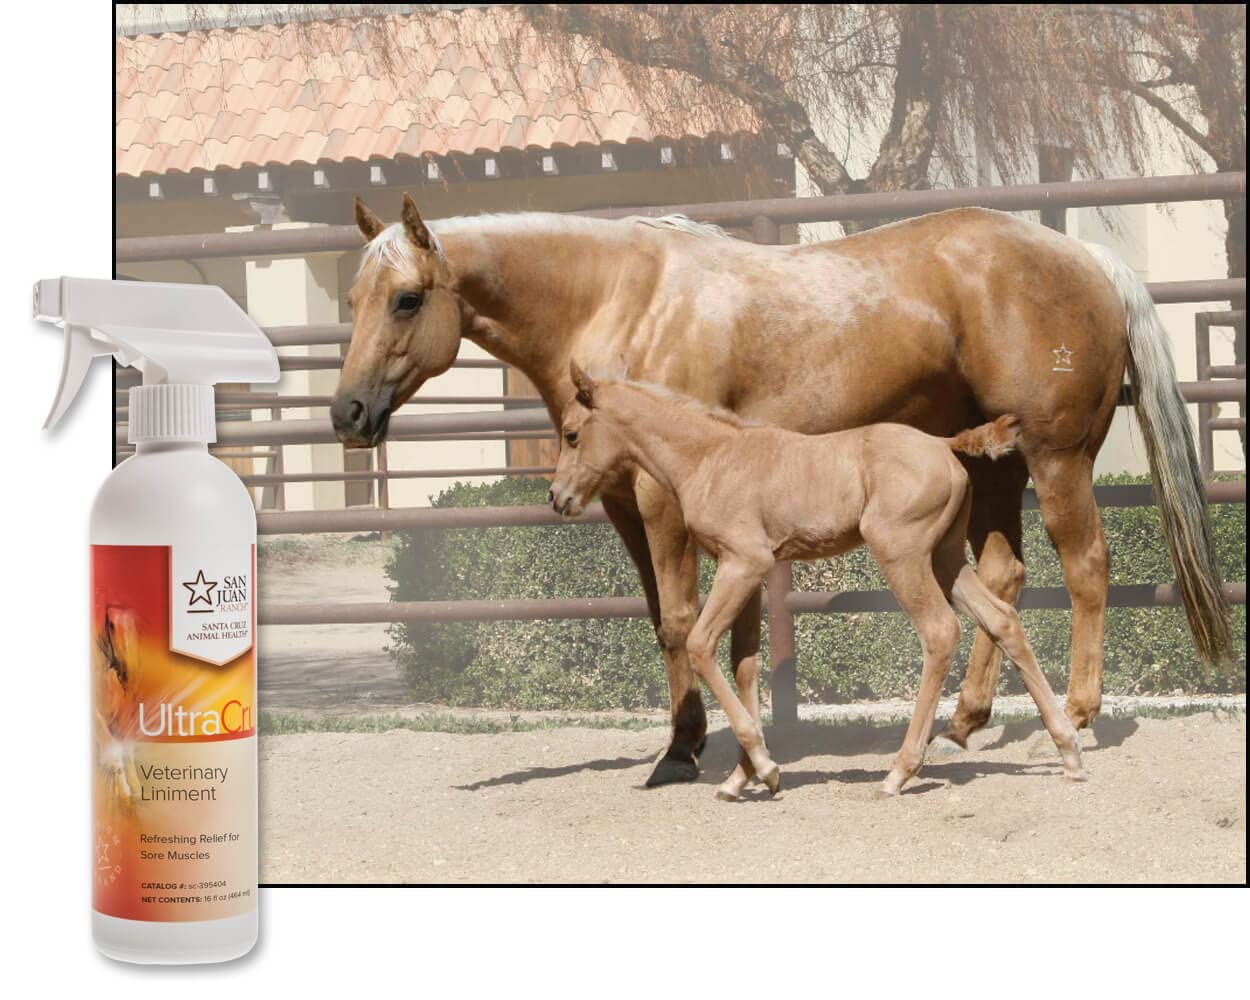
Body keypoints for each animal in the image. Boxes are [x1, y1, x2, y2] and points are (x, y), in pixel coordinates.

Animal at [549, 364, 1086, 798]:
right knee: (1003, 619)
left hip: (903, 555)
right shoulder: (748, 571)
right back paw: (1068, 751)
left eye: (571, 434)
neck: (710, 457)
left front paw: (765, 768)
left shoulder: (742, 564)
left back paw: (900, 771)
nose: (557, 497)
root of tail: (942, 443)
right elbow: (745, 664)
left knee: (940, 632)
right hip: (946, 558)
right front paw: (742, 777)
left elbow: (701, 646)